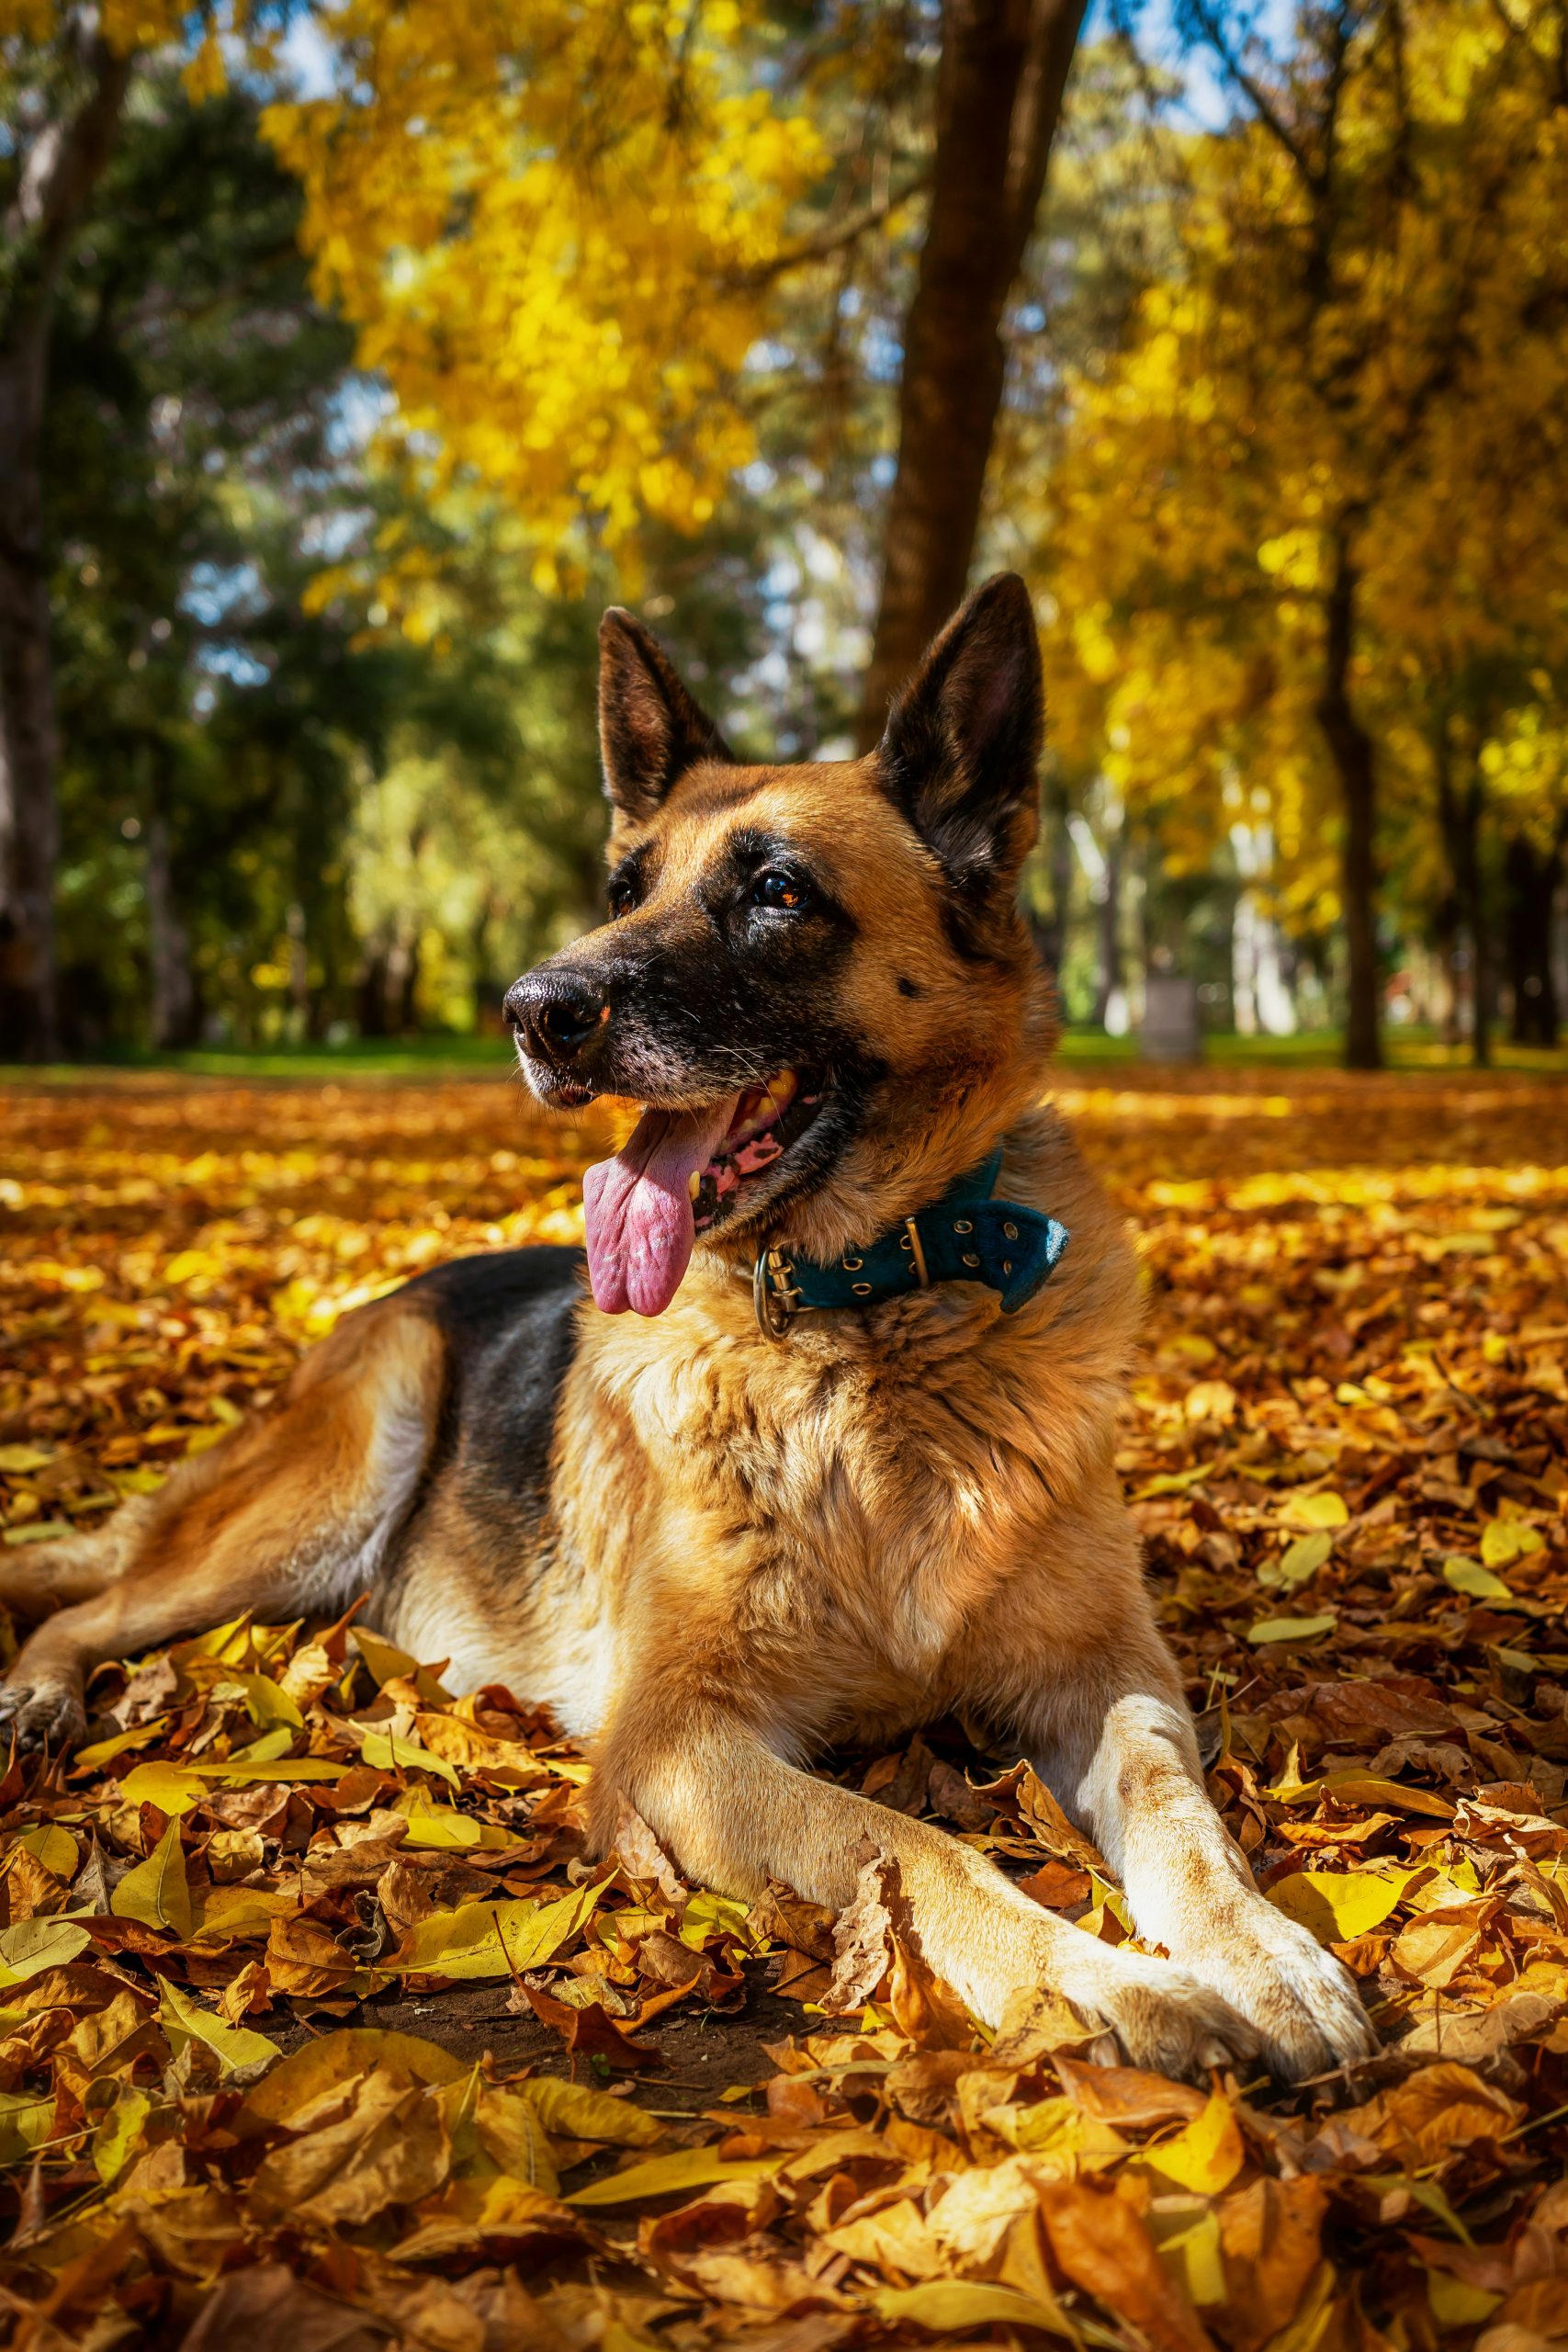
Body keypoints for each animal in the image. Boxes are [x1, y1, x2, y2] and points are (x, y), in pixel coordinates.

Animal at [0, 582, 1372, 2079]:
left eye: (777, 893)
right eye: (624, 889)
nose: (532, 1011)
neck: (865, 1330)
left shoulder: (1106, 1675)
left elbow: (1178, 1812)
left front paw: (1260, 1953)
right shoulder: (675, 1741)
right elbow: (917, 1846)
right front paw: (1102, 1987)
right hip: (329, 1482)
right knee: (90, 1607)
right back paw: (40, 1697)